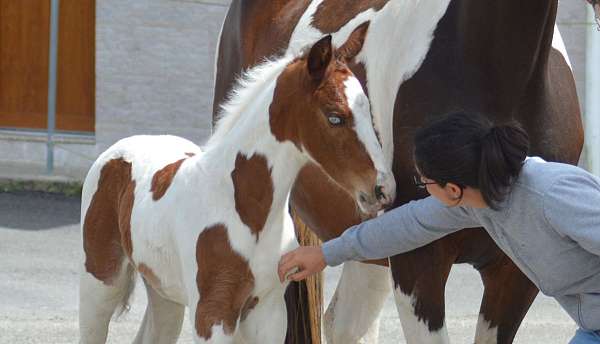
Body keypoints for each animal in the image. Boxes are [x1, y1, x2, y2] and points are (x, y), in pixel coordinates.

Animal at [79, 26, 396, 344]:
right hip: (101, 281)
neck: (244, 209)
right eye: (335, 117)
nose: (383, 189)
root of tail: (117, 150)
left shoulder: (268, 311)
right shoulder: (211, 314)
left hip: (164, 292)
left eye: (368, 111)